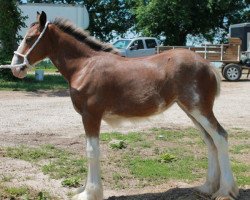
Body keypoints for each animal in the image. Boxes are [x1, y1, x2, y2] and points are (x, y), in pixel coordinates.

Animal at [8, 12, 238, 200]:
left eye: (29, 39)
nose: (15, 68)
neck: (84, 66)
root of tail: (208, 64)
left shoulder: (91, 115)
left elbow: (91, 150)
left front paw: (90, 193)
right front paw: (85, 190)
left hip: (199, 109)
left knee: (220, 136)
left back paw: (225, 191)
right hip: (190, 110)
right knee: (209, 141)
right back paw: (207, 187)